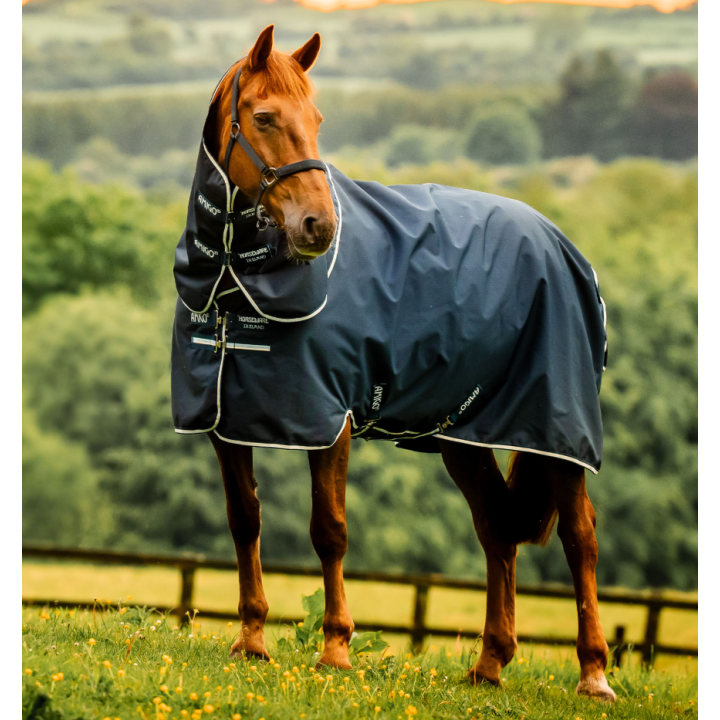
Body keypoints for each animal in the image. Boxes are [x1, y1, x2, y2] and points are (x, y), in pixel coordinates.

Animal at [172, 25, 616, 703]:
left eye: (317, 120)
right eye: (265, 117)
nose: (319, 227)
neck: (233, 285)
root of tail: (563, 246)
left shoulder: (329, 422)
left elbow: (328, 529)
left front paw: (335, 649)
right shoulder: (227, 421)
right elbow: (244, 520)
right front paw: (251, 640)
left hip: (555, 431)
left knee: (580, 537)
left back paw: (593, 674)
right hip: (464, 436)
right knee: (496, 529)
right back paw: (490, 663)